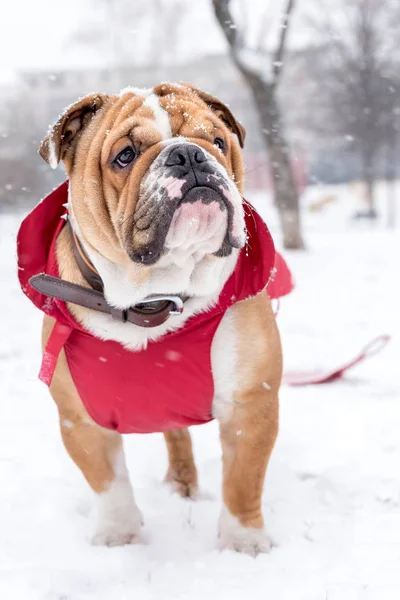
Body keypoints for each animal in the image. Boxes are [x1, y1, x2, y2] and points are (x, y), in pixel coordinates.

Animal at [18, 82, 288, 556]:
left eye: (218, 142)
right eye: (124, 155)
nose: (189, 154)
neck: (153, 300)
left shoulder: (250, 402)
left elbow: (243, 480)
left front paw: (244, 542)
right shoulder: (78, 417)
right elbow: (107, 481)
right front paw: (118, 535)